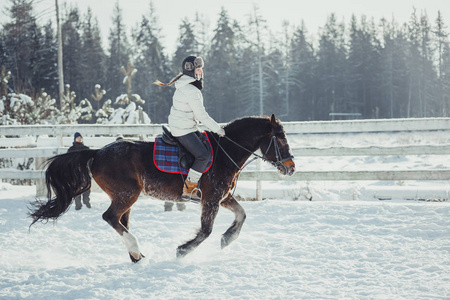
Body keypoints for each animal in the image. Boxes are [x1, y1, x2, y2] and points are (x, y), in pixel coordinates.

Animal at [28, 115, 296, 262]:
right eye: (281, 138)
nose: (291, 167)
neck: (225, 152)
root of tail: (97, 152)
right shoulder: (211, 199)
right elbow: (206, 231)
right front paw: (182, 251)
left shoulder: (223, 197)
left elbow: (242, 214)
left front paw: (228, 238)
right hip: (127, 195)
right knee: (110, 217)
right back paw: (136, 251)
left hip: (125, 197)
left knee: (121, 221)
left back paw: (136, 256)